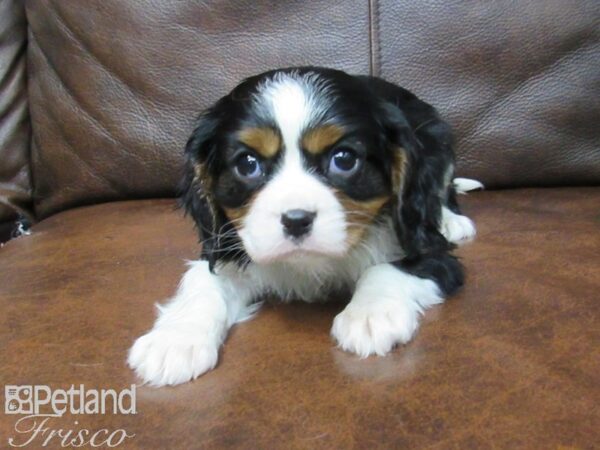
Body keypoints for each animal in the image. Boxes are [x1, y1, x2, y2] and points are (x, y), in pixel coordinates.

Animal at [129, 67, 480, 386]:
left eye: (344, 159)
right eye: (247, 164)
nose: (296, 220)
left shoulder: (431, 251)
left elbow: (385, 268)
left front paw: (370, 315)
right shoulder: (225, 246)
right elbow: (203, 282)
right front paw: (175, 340)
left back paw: (451, 219)